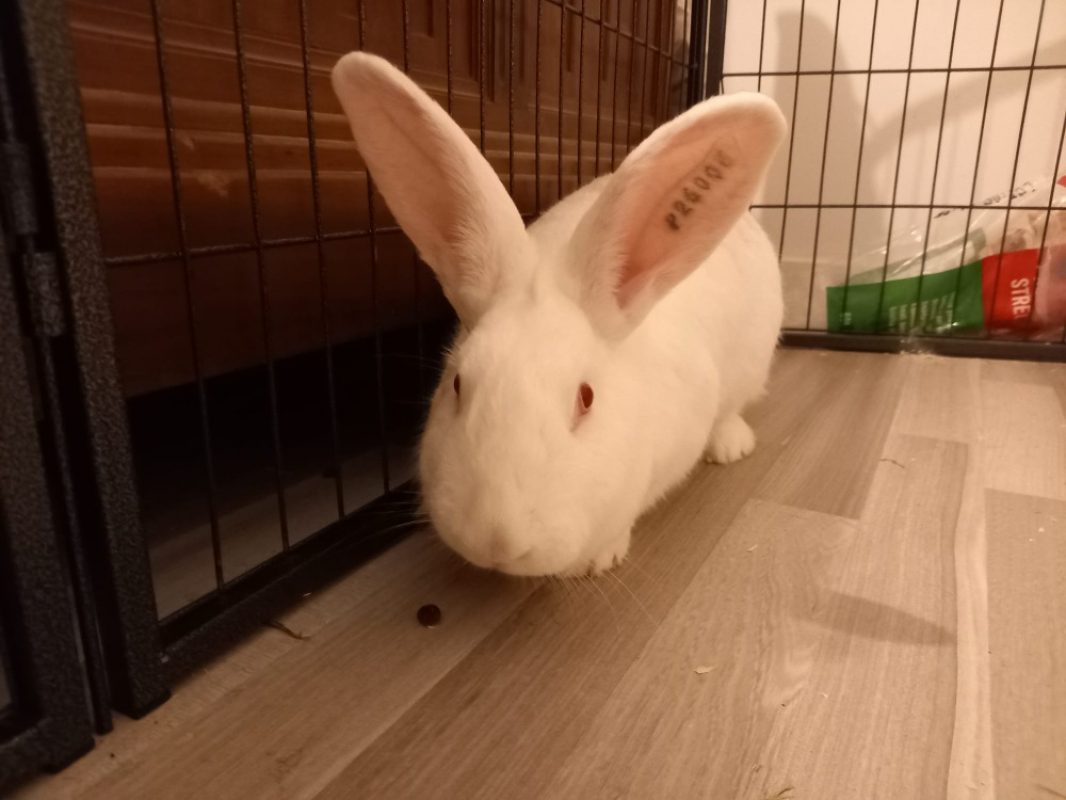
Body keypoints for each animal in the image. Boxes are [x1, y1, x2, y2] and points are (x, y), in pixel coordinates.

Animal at [332, 52, 786, 578]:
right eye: (457, 385)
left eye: (586, 398)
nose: (497, 543)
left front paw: (600, 557)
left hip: (751, 363)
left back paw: (731, 445)